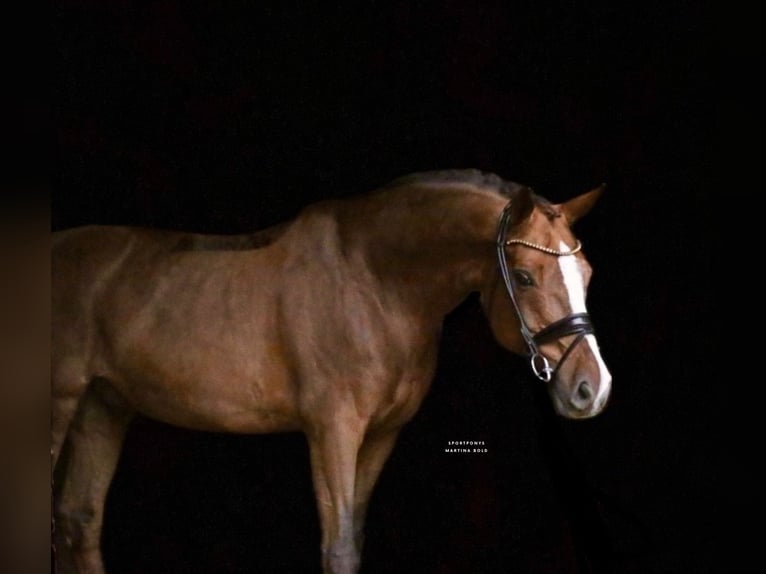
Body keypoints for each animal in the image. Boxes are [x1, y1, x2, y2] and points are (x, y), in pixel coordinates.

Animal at [51, 169, 611, 574]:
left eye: (585, 274)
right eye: (525, 276)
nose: (593, 388)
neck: (376, 281)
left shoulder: (382, 433)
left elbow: (354, 539)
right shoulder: (332, 429)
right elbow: (338, 545)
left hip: (103, 409)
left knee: (80, 522)